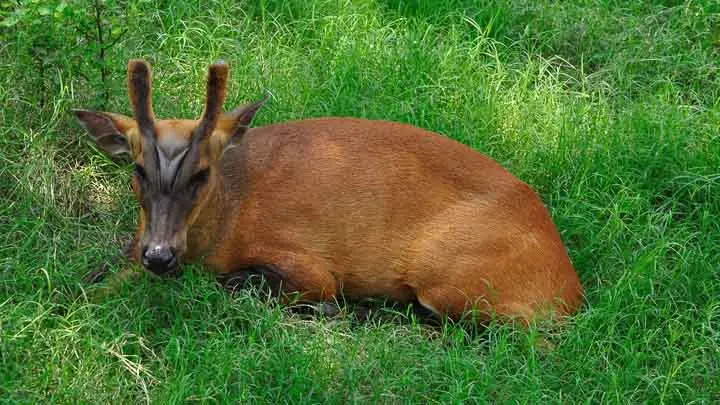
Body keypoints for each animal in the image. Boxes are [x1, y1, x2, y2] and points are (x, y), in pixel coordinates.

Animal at [73, 59, 583, 324]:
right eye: (138, 168)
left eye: (201, 173)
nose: (159, 255)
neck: (224, 224)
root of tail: (571, 290)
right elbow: (95, 275)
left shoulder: (308, 264)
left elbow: (251, 284)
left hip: (450, 273)